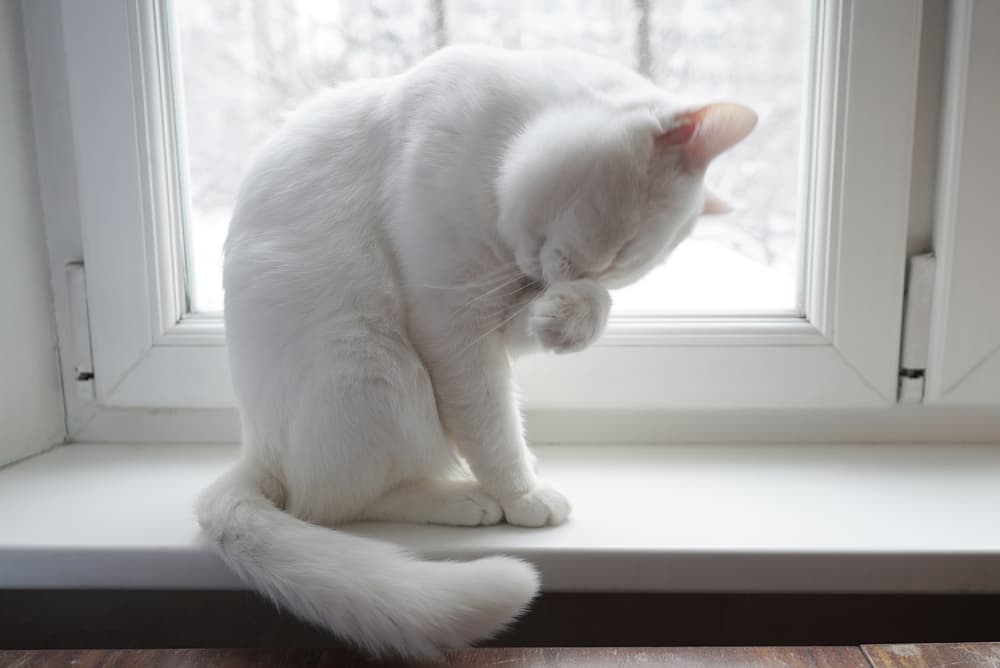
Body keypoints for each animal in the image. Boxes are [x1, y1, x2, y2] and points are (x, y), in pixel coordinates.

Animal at [197, 45, 756, 656]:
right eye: (623, 250)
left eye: (624, 266)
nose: (577, 276)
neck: (501, 131)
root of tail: (254, 450)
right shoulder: (454, 319)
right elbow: (492, 427)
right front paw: (523, 494)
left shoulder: (498, 304)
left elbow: (578, 314)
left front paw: (571, 318)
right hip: (371, 355)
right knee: (334, 502)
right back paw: (461, 500)